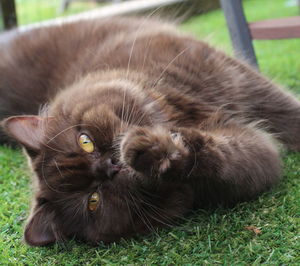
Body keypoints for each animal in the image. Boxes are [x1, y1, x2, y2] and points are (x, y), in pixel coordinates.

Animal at [0, 16, 300, 245]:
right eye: (93, 200)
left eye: (85, 141)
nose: (110, 166)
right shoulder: (248, 158)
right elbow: (224, 158)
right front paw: (155, 152)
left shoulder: (233, 77)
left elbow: (287, 112)